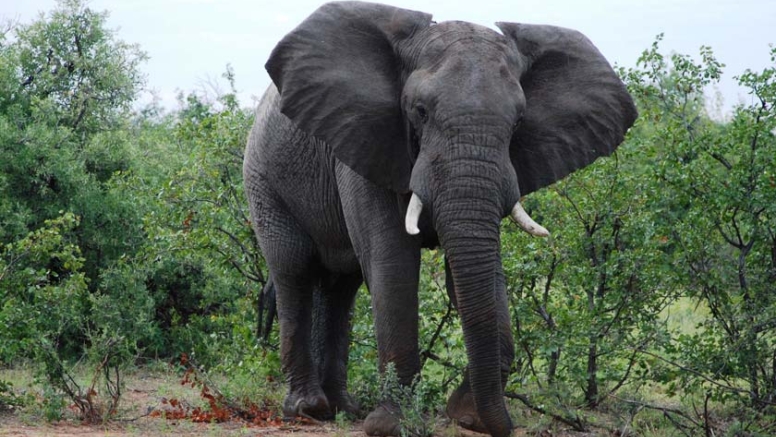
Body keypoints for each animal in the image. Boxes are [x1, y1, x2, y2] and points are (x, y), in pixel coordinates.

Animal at [244, 1, 636, 434]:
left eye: (519, 122)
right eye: (420, 111)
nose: (503, 425)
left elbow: (477, 268)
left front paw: (467, 416)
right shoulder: (368, 139)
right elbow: (392, 261)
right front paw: (390, 425)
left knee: (341, 285)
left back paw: (343, 408)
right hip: (262, 177)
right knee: (293, 268)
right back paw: (308, 409)